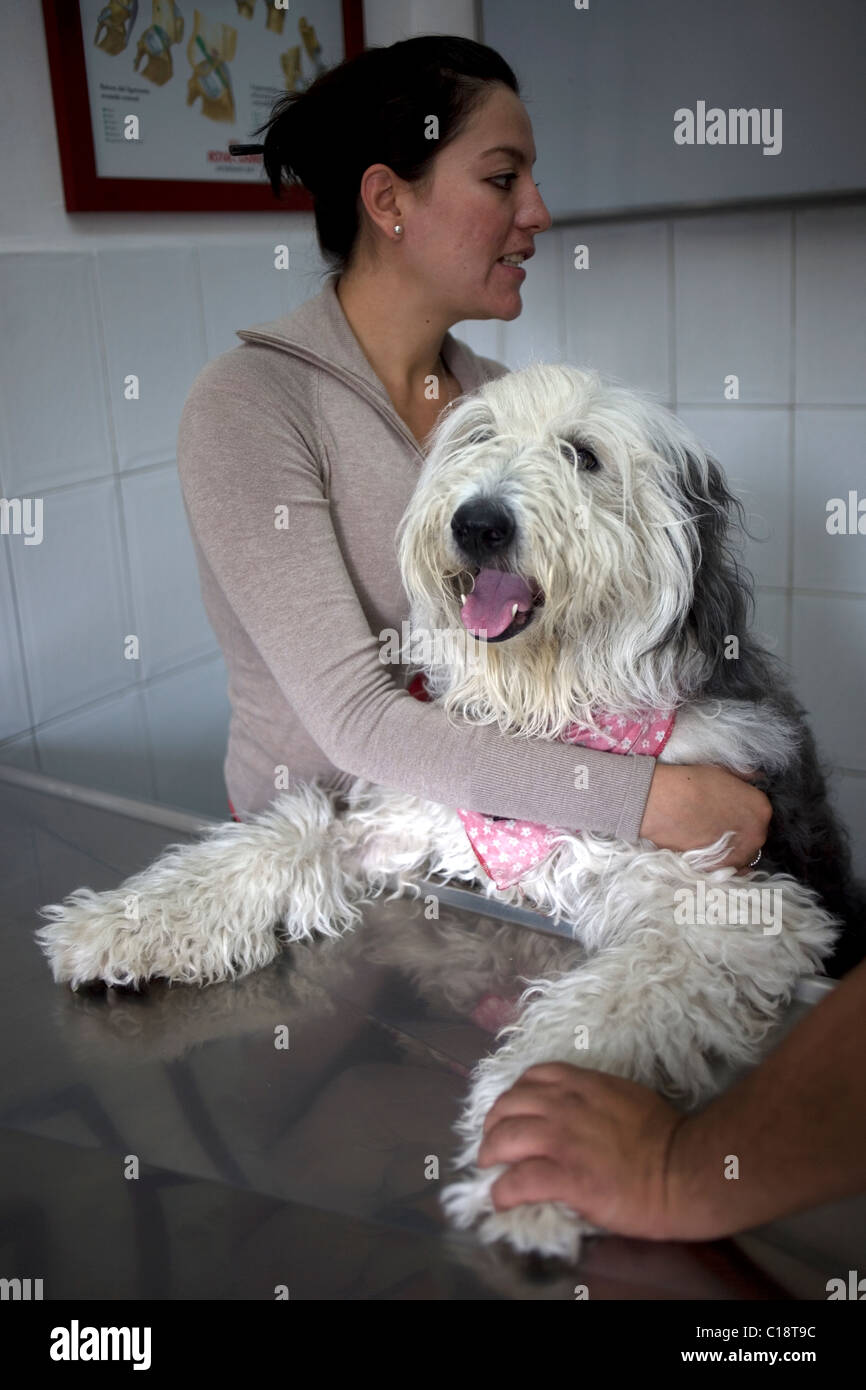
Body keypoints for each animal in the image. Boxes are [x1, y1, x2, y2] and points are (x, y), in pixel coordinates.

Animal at [37, 366, 861, 1262]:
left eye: (584, 454)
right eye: (479, 436)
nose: (479, 523)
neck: (549, 730)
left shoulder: (727, 906)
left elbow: (619, 999)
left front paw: (538, 1151)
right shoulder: (398, 820)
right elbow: (282, 837)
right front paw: (126, 924)